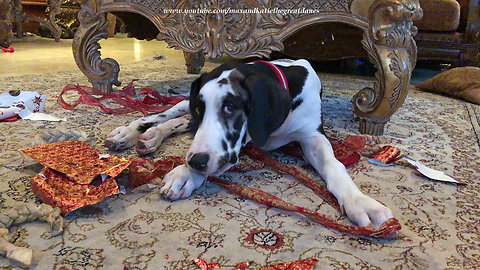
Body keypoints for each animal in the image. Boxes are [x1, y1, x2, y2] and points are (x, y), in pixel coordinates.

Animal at [107, 59, 396, 228]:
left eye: (230, 107)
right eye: (202, 108)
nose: (195, 162)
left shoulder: (313, 136)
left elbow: (336, 167)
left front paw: (359, 201)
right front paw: (185, 173)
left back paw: (151, 138)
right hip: (180, 105)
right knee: (160, 117)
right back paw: (131, 133)